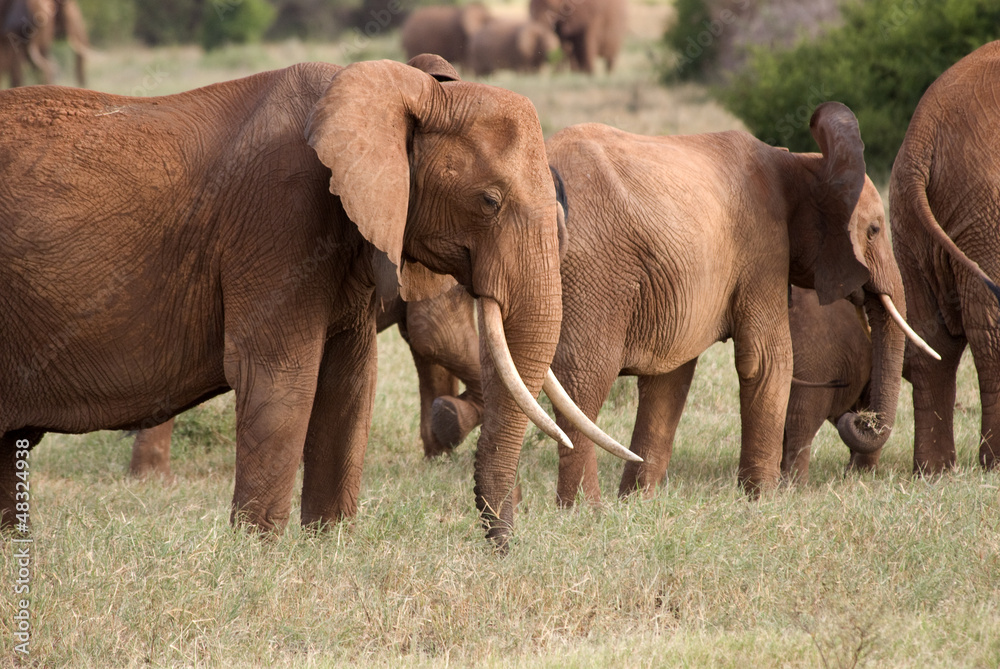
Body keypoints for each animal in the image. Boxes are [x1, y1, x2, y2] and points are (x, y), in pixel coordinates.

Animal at [0, 55, 629, 548]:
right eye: (489, 202)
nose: (500, 547)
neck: (402, 89)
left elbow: (349, 381)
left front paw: (328, 545)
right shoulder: (278, 217)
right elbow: (282, 377)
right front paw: (257, 557)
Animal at [543, 104, 933, 506]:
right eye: (874, 230)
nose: (860, 419)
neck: (799, 162)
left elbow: (672, 374)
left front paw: (638, 502)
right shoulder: (763, 246)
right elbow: (768, 360)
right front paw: (763, 501)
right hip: (594, 273)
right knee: (585, 381)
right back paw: (583, 509)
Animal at [890, 40, 1000, 474]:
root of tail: (924, 133)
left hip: (908, 221)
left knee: (929, 337)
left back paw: (932, 471)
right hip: (986, 210)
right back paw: (992, 464)